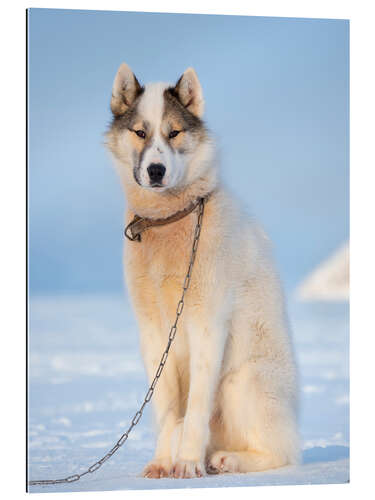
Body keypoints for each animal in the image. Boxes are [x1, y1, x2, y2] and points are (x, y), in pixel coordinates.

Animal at [106, 64, 300, 478]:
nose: (156, 170)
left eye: (174, 132)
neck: (170, 221)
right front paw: (162, 463)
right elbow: (166, 411)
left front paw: (186, 464)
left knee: (284, 453)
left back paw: (226, 459)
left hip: (243, 381)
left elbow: (194, 408)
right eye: (140, 132)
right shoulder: (153, 333)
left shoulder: (207, 323)